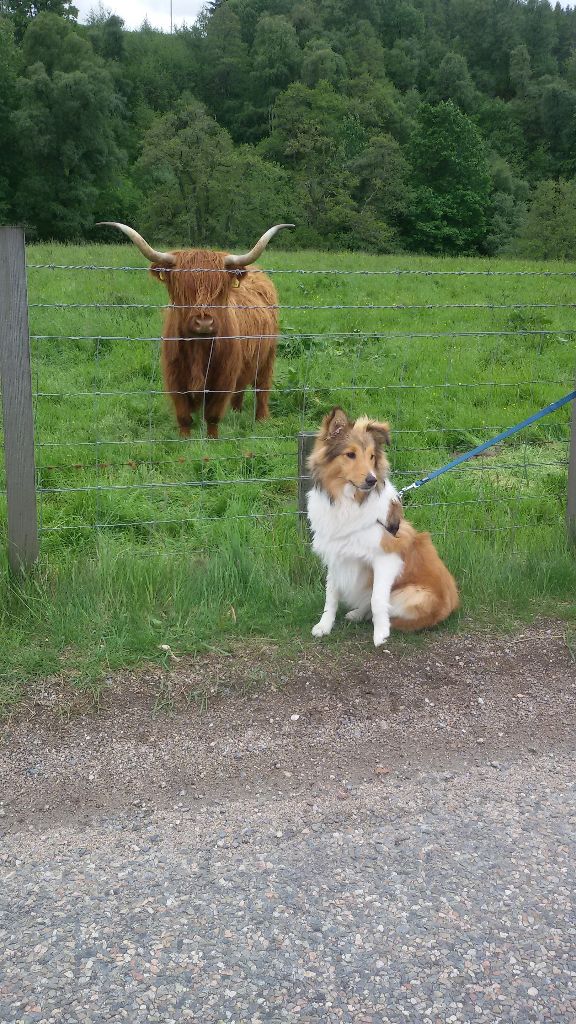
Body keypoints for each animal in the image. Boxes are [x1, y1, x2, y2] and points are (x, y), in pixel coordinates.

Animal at [96, 221, 291, 436]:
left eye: (219, 290)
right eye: (183, 288)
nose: (204, 322)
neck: (198, 347)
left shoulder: (223, 378)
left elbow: (212, 416)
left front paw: (212, 439)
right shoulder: (175, 378)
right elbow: (183, 416)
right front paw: (184, 439)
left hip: (267, 356)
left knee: (262, 388)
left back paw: (262, 420)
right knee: (241, 390)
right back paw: (237, 413)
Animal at [305, 409, 457, 643]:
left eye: (372, 456)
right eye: (350, 454)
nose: (372, 480)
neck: (348, 501)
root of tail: (452, 604)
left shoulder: (386, 558)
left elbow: (377, 599)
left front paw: (381, 633)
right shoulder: (335, 555)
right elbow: (331, 595)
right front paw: (324, 626)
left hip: (412, 594)